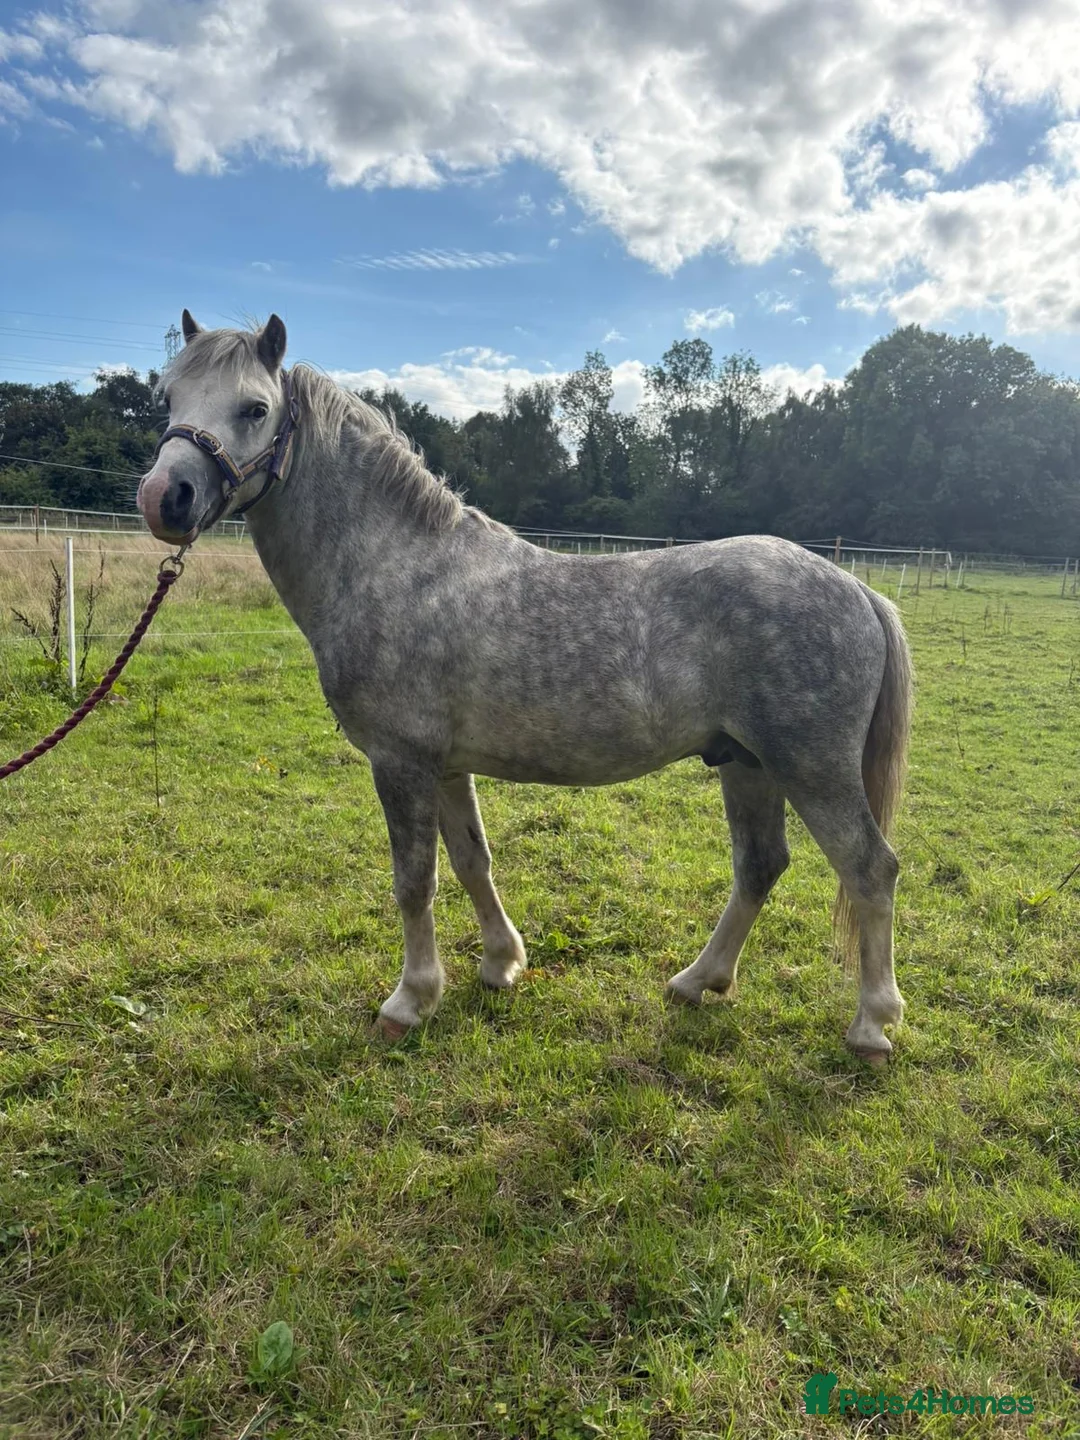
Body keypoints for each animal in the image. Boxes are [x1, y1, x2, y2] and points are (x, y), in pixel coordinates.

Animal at [138, 312, 913, 1064]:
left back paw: (872, 1025)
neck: (393, 566)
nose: (163, 498)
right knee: (760, 866)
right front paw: (499, 965)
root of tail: (857, 590)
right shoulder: (445, 767)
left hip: (811, 767)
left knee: (870, 869)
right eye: (168, 398)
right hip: (748, 763)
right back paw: (697, 981)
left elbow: (414, 881)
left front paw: (409, 1002)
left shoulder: (400, 762)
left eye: (254, 408)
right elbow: (472, 862)